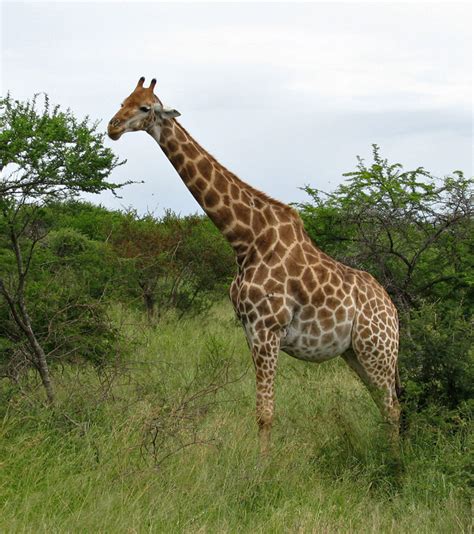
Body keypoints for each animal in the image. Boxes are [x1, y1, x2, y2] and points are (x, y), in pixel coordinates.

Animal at [107, 78, 400, 456]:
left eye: (145, 107)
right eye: (123, 100)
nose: (112, 127)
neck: (246, 240)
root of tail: (393, 311)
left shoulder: (267, 329)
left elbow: (265, 413)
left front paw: (263, 468)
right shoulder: (250, 330)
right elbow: (259, 409)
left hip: (377, 350)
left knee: (392, 407)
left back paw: (396, 462)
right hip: (356, 353)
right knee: (384, 404)